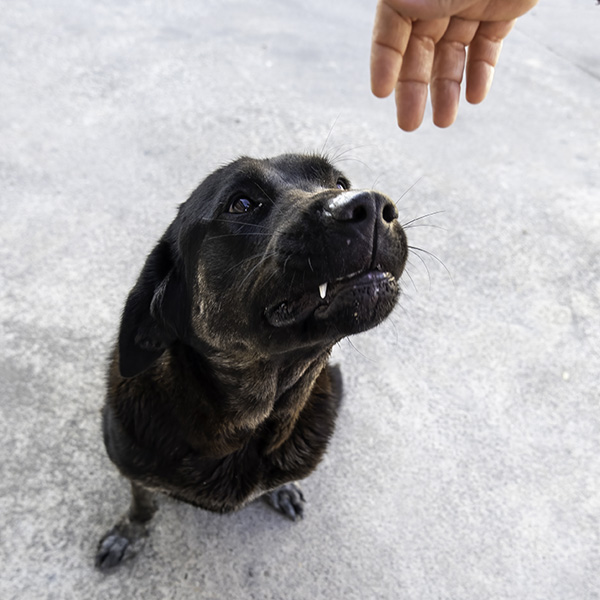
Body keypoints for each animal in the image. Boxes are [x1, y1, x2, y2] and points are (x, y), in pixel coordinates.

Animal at [96, 152, 408, 568]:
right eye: (242, 203)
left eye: (340, 183)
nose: (371, 205)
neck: (252, 421)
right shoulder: (131, 464)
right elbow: (142, 503)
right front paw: (128, 533)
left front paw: (282, 488)